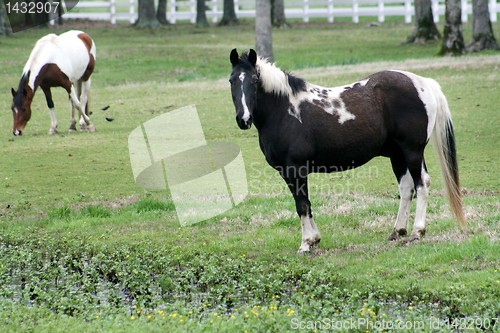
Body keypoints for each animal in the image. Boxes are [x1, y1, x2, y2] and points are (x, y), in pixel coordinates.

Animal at [229, 48, 466, 252]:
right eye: (231, 80)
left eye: (254, 80)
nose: (243, 119)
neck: (285, 110)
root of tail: (423, 83)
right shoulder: (287, 171)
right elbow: (305, 203)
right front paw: (314, 239)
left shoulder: (295, 169)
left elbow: (302, 204)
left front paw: (306, 244)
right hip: (398, 154)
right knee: (407, 188)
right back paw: (397, 231)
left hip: (412, 151)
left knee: (421, 184)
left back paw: (417, 232)